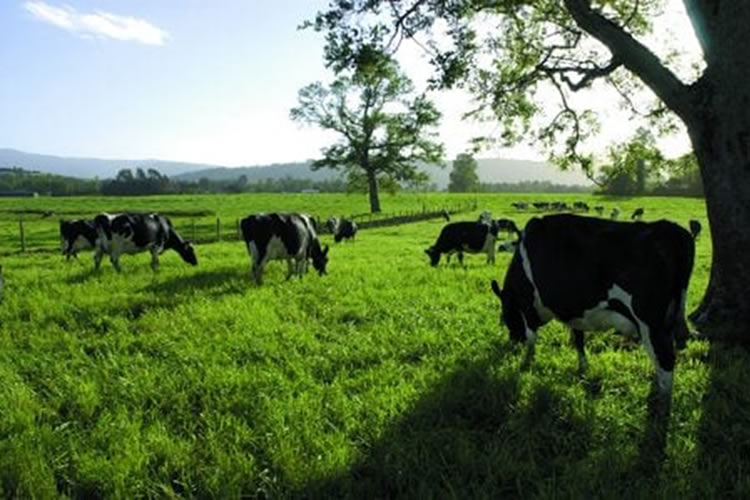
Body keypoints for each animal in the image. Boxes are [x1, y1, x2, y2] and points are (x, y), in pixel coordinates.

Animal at [490, 214, 696, 398]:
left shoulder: (528, 305)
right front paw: (583, 367)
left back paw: (662, 400)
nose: (514, 339)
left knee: (665, 359)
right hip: (673, 316)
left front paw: (526, 362)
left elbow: (532, 337)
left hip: (650, 322)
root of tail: (669, 228)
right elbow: (578, 338)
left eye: (504, 315)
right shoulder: (574, 309)